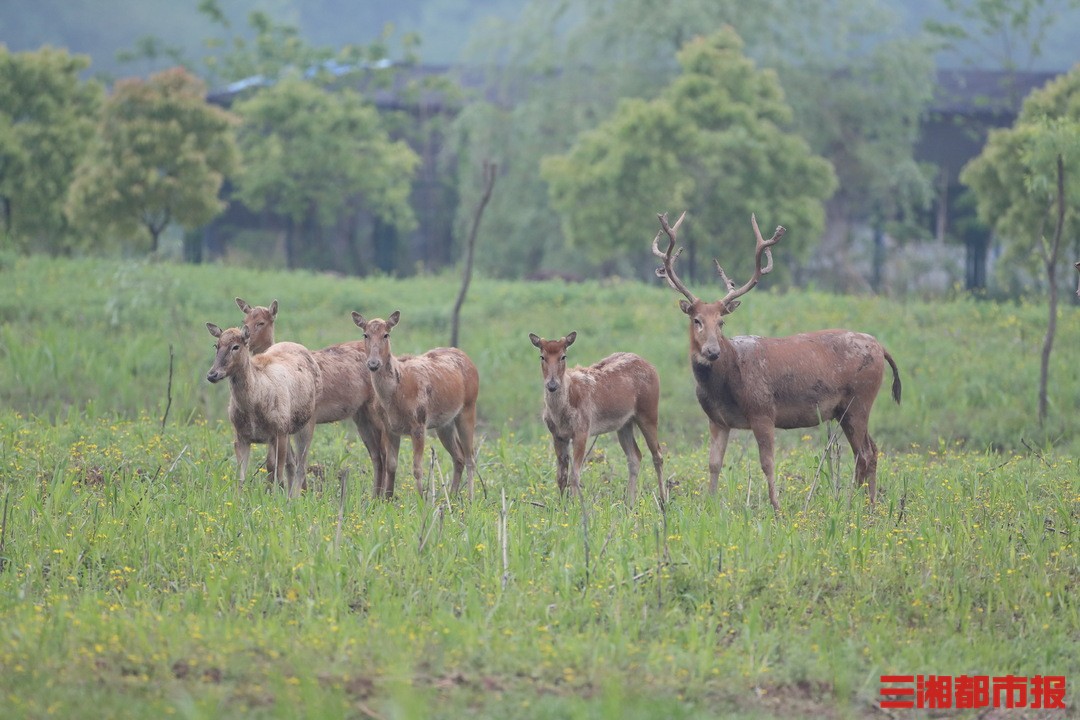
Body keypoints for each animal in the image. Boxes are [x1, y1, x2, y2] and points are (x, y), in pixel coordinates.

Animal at [203, 323, 317, 498]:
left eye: (235, 346)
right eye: (216, 345)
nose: (212, 374)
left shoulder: (277, 432)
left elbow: (274, 468)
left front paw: (273, 497)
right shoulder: (241, 436)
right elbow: (240, 474)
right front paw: (239, 499)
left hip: (306, 422)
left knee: (301, 464)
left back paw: (296, 496)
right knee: (292, 462)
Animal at [234, 297, 395, 496]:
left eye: (261, 322)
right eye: (244, 320)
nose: (246, 341)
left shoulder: (308, 418)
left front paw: (299, 493)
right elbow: (288, 461)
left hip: (375, 410)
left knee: (385, 452)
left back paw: (382, 497)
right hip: (360, 414)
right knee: (376, 454)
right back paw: (374, 497)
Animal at [352, 310, 479, 500]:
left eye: (386, 334)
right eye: (365, 334)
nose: (373, 363)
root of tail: (470, 360)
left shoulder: (419, 423)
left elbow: (417, 468)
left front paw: (421, 500)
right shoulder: (389, 427)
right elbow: (391, 465)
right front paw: (387, 499)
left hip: (468, 407)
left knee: (471, 457)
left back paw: (470, 498)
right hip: (444, 423)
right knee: (459, 457)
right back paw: (451, 496)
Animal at [527, 332, 660, 500]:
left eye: (563, 356)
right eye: (542, 356)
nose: (552, 385)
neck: (560, 414)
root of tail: (652, 368)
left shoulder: (582, 430)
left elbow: (575, 475)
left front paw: (575, 504)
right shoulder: (557, 435)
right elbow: (561, 477)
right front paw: (561, 504)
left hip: (649, 412)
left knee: (657, 455)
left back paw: (663, 500)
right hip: (624, 424)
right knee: (635, 456)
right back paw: (629, 502)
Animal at [652, 211, 898, 515]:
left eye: (721, 322)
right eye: (696, 320)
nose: (712, 351)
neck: (724, 385)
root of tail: (881, 347)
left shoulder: (763, 411)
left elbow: (767, 463)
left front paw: (777, 507)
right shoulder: (717, 420)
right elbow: (713, 464)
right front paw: (709, 505)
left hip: (860, 400)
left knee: (864, 453)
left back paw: (859, 505)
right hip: (846, 409)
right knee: (870, 450)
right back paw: (867, 505)